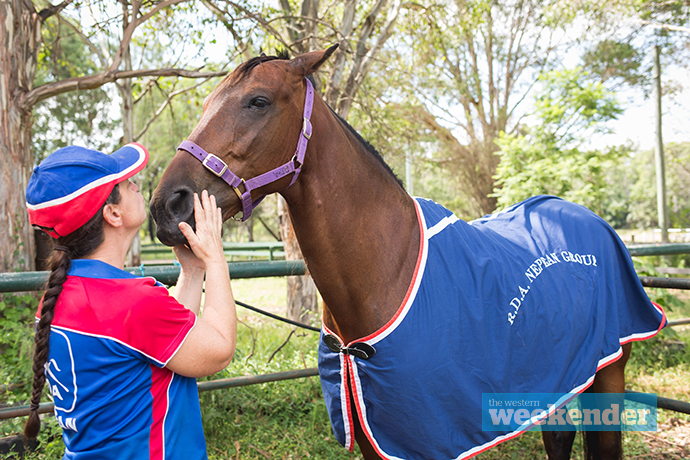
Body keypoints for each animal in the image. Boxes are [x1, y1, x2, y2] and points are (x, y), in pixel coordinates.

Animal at [149, 46, 660, 460]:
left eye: (259, 101)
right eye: (207, 103)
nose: (167, 206)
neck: (387, 270)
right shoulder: (374, 438)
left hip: (609, 372)